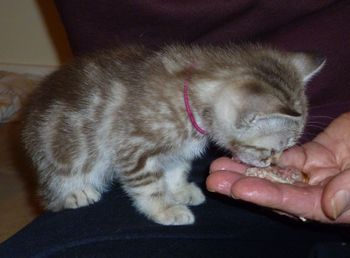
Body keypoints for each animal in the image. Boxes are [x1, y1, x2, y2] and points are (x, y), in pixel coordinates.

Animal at [21, 44, 324, 226]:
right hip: (64, 153)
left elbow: (176, 170)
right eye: (271, 150)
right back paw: (74, 193)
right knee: (55, 190)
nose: (273, 163)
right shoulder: (135, 149)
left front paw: (179, 191)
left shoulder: (179, 151)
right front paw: (165, 209)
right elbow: (149, 186)